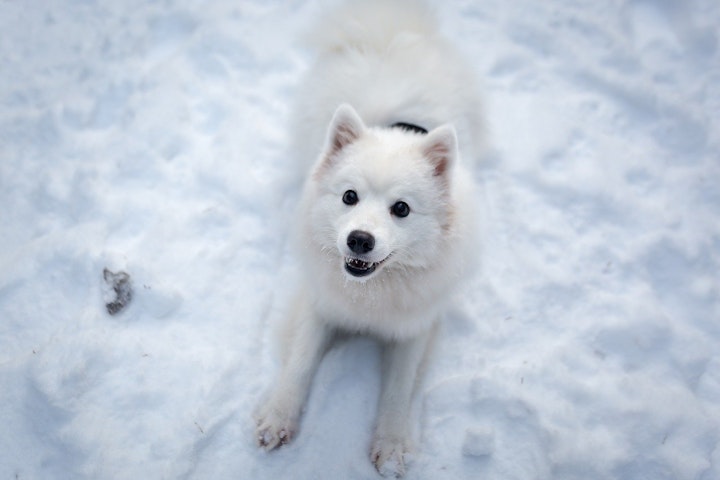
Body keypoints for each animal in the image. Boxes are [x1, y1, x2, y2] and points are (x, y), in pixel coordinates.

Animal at [253, 0, 484, 476]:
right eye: (349, 196)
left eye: (402, 209)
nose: (359, 240)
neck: (371, 293)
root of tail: (390, 30)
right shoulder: (319, 305)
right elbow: (299, 362)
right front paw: (278, 418)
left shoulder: (415, 326)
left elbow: (398, 388)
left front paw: (392, 446)